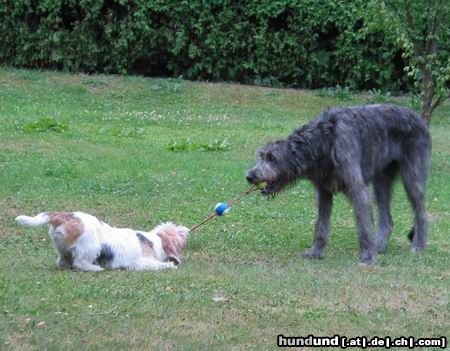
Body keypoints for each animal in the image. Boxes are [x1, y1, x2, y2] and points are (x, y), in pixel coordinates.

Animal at [15, 212, 190, 272]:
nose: (187, 230)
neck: (155, 240)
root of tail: (65, 216)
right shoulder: (140, 263)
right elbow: (158, 265)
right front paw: (169, 266)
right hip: (92, 247)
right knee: (79, 263)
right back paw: (95, 268)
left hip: (62, 248)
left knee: (62, 261)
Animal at [248, 104, 430, 264]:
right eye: (261, 156)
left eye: (272, 158)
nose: (249, 176)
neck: (324, 141)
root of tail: (418, 118)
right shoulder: (323, 191)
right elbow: (321, 225)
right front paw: (315, 252)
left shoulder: (357, 188)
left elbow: (363, 225)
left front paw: (367, 256)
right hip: (381, 181)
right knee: (387, 218)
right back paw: (379, 246)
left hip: (412, 177)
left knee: (421, 212)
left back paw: (418, 246)